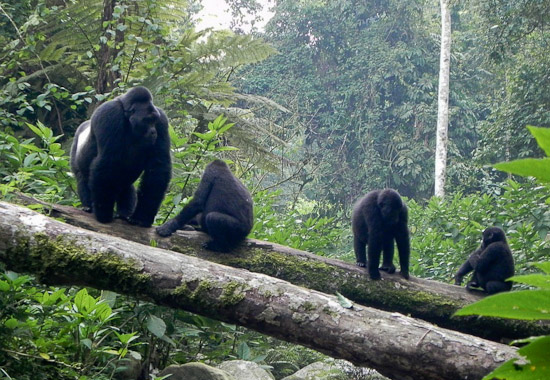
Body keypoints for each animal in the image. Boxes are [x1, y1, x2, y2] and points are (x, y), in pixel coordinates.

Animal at [70, 87, 171, 227]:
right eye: (147, 120)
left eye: (154, 121)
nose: (153, 132)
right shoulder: (110, 113)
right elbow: (106, 162)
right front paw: (103, 214)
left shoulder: (161, 119)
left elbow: (158, 167)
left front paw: (142, 217)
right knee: (82, 177)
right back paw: (88, 206)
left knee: (125, 185)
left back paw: (124, 213)